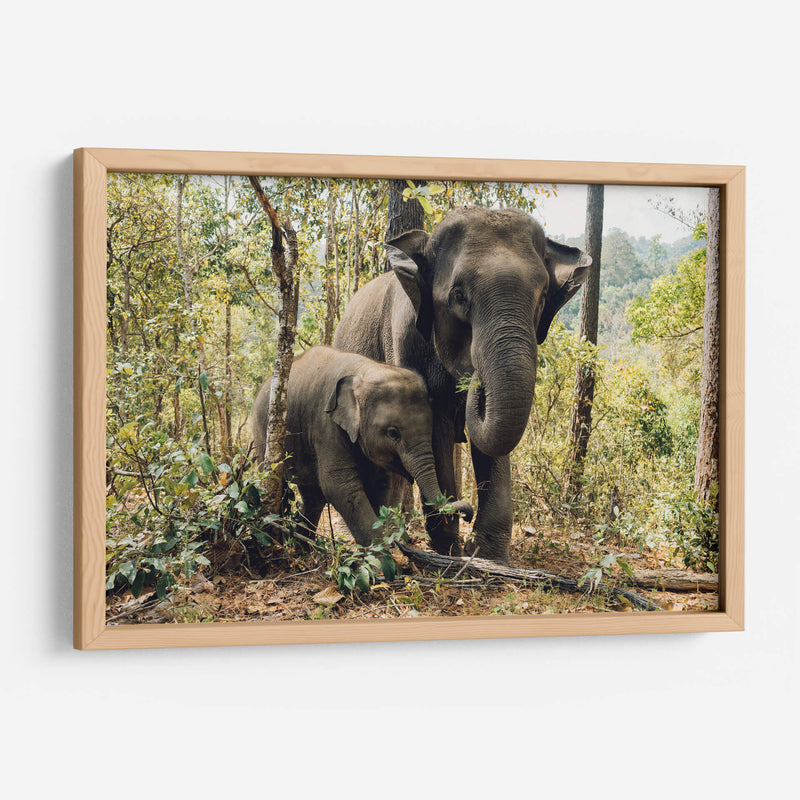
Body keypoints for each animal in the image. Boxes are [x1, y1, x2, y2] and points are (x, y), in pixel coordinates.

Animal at [251, 345, 473, 546]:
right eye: (393, 433)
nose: (468, 515)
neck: (365, 371)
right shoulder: (326, 425)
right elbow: (339, 485)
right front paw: (383, 556)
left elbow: (381, 484)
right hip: (264, 432)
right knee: (276, 483)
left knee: (313, 497)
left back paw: (303, 548)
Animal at [333, 206, 591, 562]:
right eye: (458, 295)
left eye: (541, 299)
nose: (475, 379)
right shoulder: (405, 342)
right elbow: (436, 428)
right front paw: (451, 547)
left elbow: (491, 442)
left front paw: (487, 554)